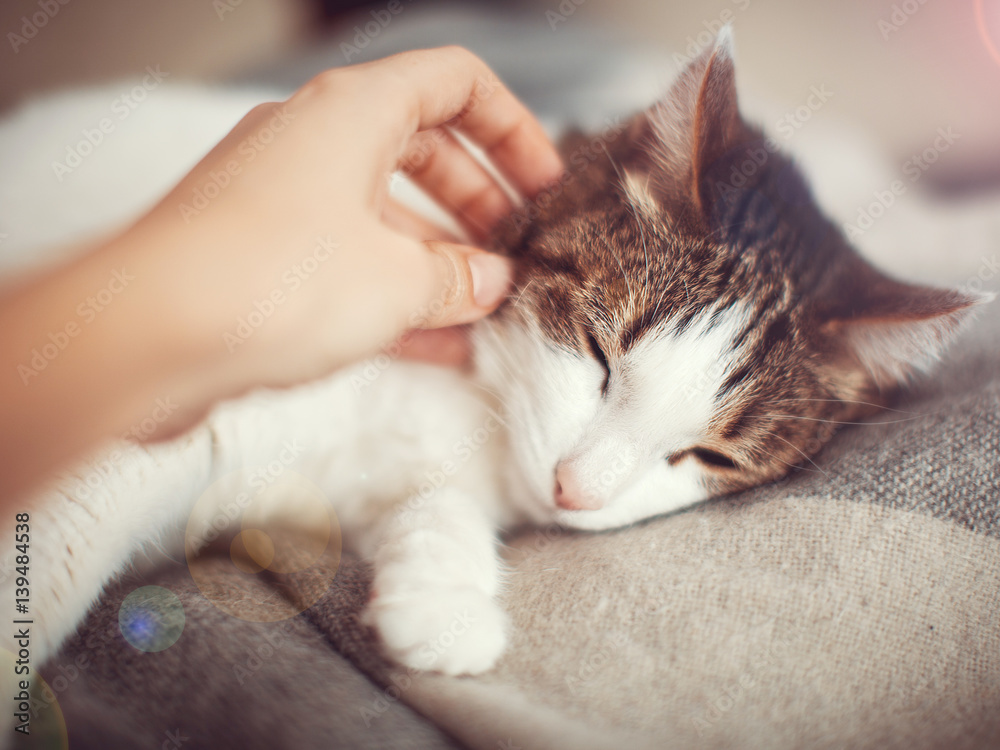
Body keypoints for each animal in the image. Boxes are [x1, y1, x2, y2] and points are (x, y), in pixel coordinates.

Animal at [3, 32, 988, 684]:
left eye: (708, 454)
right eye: (598, 353)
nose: (574, 491)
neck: (472, 400)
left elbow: (431, 505)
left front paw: (441, 604)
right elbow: (77, 516)